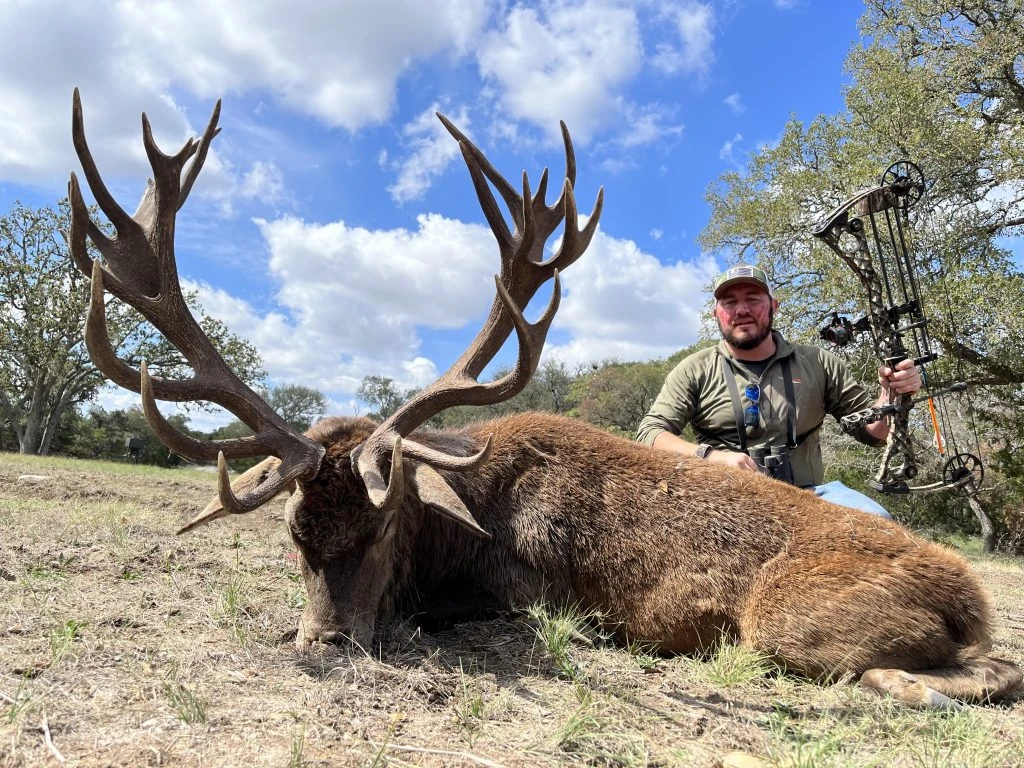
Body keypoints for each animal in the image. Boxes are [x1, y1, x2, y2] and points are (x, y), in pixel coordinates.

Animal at [67, 89, 1022, 710]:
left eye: (387, 526)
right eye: (294, 535)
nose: (328, 643)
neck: (460, 522)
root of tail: (971, 596)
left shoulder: (527, 591)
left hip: (784, 620)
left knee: (977, 669)